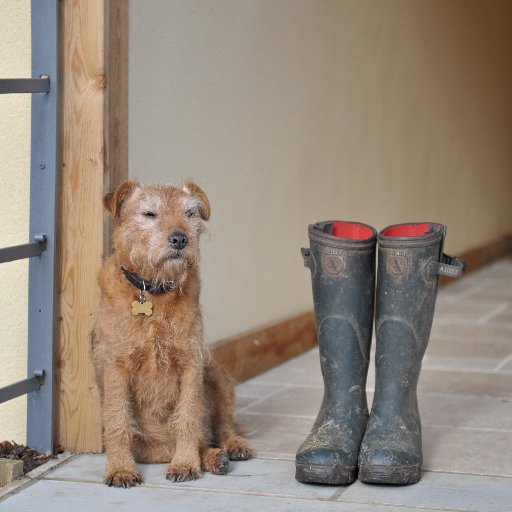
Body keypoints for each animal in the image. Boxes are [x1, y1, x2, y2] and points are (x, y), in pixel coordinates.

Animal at [93, 180, 253, 488]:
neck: (154, 294)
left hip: (217, 375)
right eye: (149, 214)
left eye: (189, 213)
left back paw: (229, 449)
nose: (180, 239)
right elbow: (118, 421)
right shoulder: (116, 365)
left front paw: (185, 464)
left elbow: (188, 418)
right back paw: (212, 457)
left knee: (221, 428)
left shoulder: (191, 363)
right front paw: (120, 469)